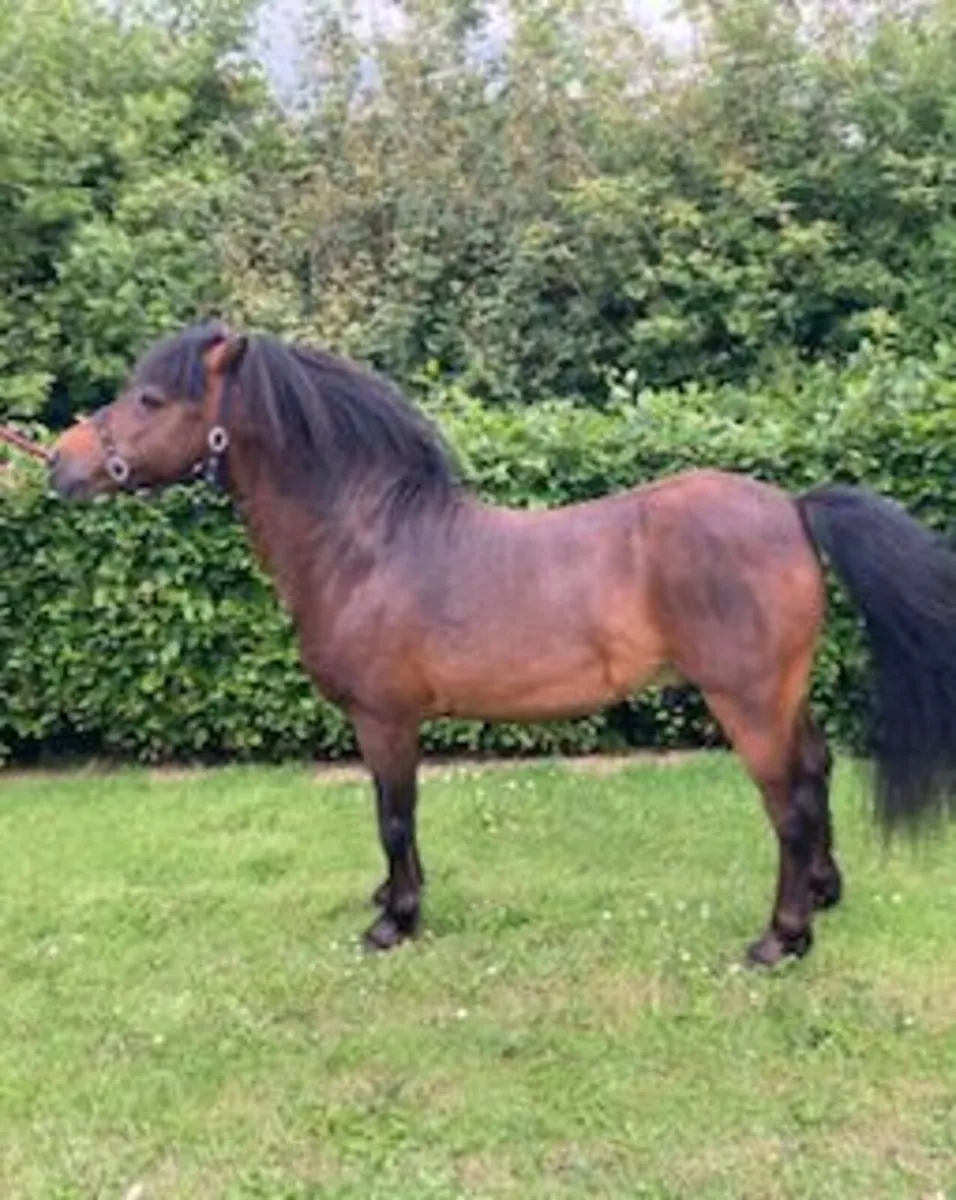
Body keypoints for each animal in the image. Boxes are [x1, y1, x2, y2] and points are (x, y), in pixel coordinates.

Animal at [48, 321, 956, 967]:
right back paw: (824, 895)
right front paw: (391, 901)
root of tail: (793, 509)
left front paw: (396, 923)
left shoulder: (386, 719)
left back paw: (782, 939)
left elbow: (394, 817)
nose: (60, 462)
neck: (366, 540)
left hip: (748, 702)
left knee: (789, 804)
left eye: (151, 400)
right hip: (782, 696)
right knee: (818, 772)